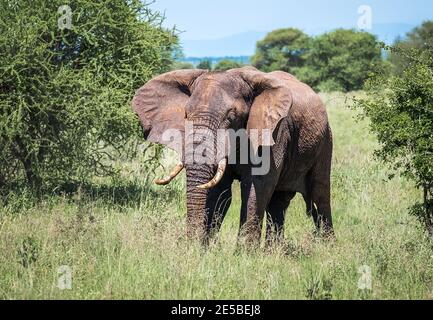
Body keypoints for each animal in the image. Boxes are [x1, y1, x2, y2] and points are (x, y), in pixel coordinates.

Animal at [132, 65, 334, 245]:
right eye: (186, 115)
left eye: (231, 117)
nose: (190, 244)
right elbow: (219, 191)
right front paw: (205, 250)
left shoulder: (275, 132)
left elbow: (257, 187)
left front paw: (244, 255)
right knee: (279, 202)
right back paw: (273, 251)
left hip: (325, 140)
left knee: (319, 193)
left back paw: (326, 247)